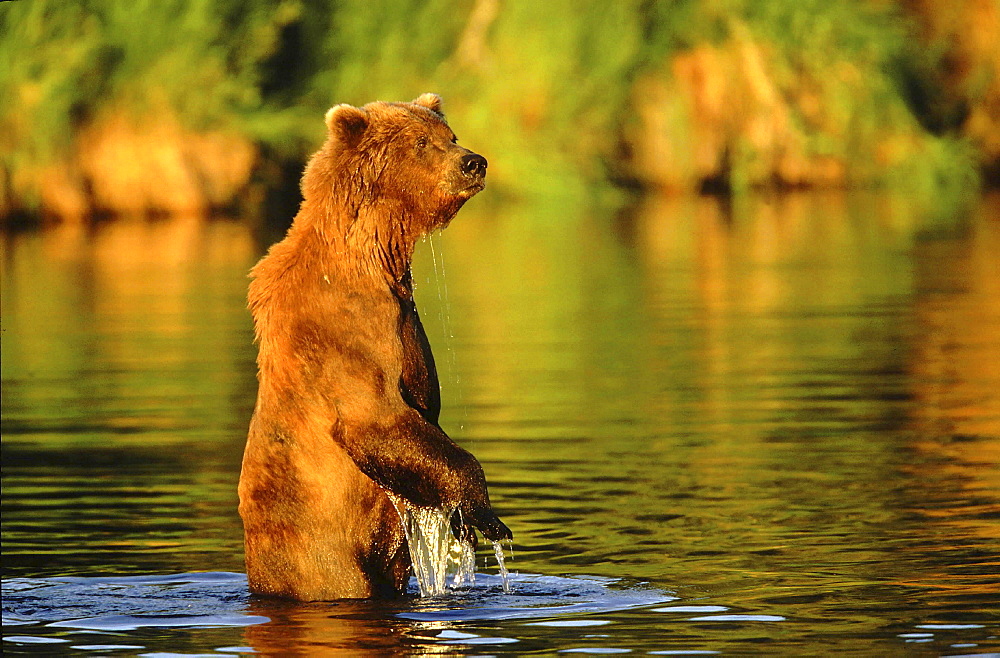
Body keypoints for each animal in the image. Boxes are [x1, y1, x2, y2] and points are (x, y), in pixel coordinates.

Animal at [238, 93, 512, 600]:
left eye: (451, 135)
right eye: (422, 142)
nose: (474, 162)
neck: (376, 254)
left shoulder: (404, 318)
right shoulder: (347, 328)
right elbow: (377, 418)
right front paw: (482, 514)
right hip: (321, 552)